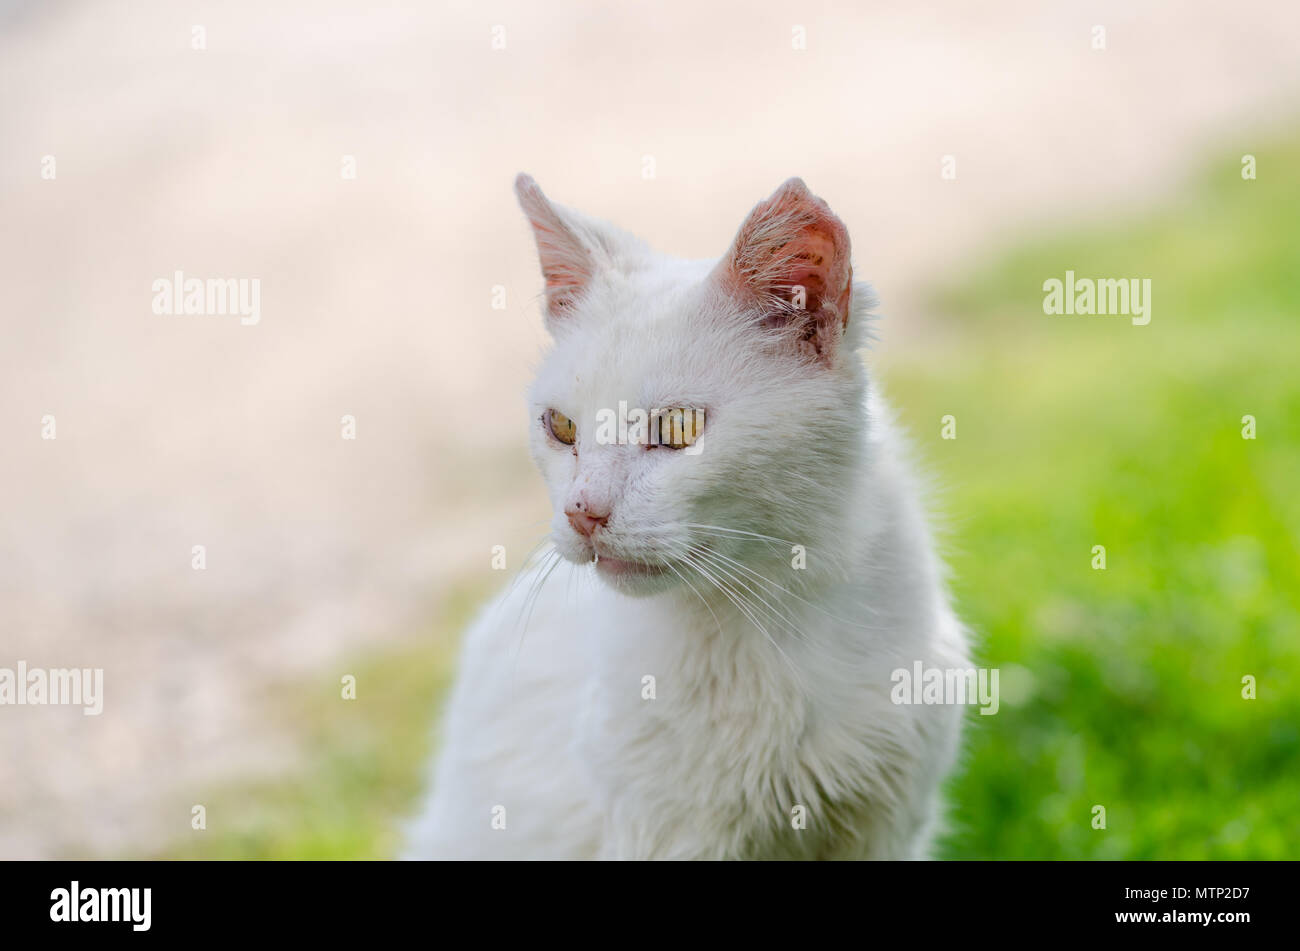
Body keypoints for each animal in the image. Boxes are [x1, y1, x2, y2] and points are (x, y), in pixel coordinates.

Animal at [400, 172, 972, 862]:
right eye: (560, 426)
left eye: (677, 428)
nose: (582, 511)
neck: (767, 621)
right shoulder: (666, 836)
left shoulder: (887, 828)